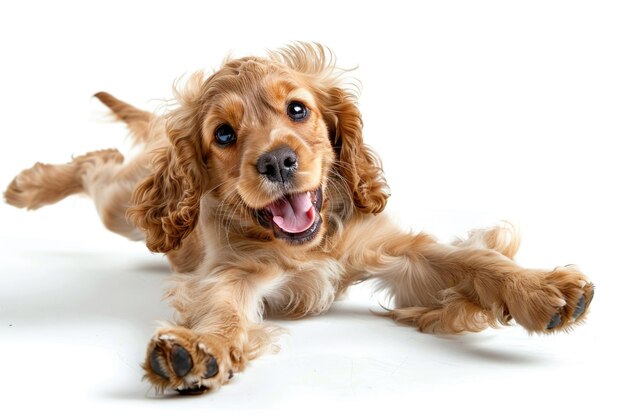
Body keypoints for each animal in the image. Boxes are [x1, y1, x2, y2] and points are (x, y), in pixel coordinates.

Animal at [3, 44, 588, 394]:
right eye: (223, 134)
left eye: (298, 110)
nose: (278, 162)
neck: (309, 244)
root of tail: (161, 138)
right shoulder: (232, 273)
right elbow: (223, 313)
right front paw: (198, 351)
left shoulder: (395, 254)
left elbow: (472, 259)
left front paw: (543, 291)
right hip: (126, 209)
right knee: (97, 162)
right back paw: (28, 185)